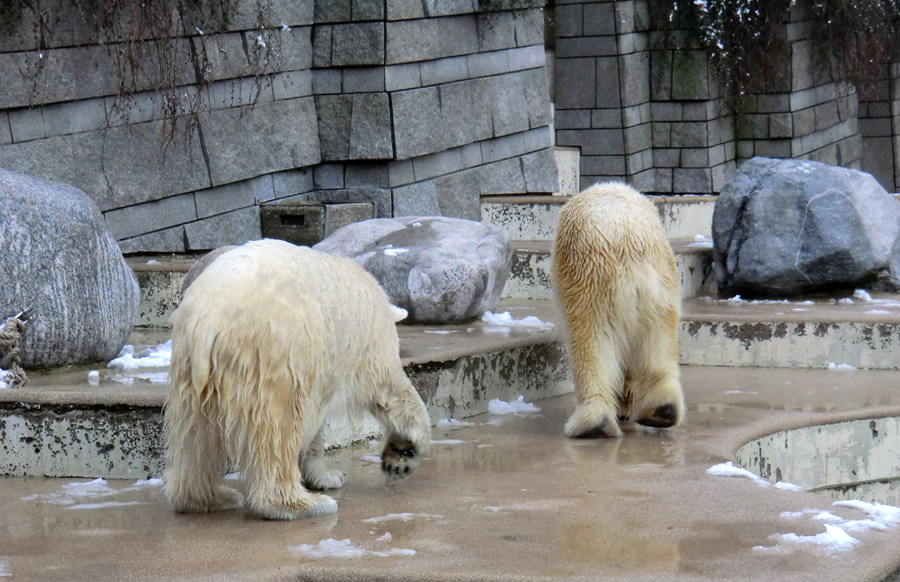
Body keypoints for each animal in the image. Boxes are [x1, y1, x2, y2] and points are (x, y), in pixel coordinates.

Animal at [164, 240, 432, 524]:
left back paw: (211, 498)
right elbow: (388, 390)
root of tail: (208, 317)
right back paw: (304, 504)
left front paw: (329, 476)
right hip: (273, 349)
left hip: (190, 363)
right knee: (279, 426)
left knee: (194, 432)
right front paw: (403, 453)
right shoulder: (366, 342)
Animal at [552, 182, 684, 438]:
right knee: (658, 342)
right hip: (662, 288)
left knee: (590, 340)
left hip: (591, 280)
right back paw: (663, 410)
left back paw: (593, 423)